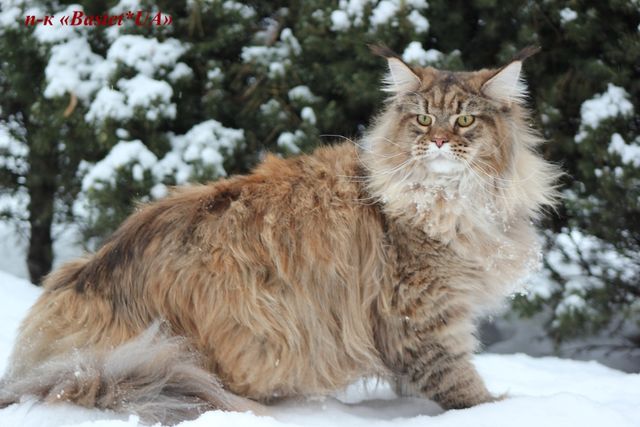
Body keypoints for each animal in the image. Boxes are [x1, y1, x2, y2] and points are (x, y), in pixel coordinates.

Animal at [0, 45, 560, 426]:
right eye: (423, 119)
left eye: (464, 120)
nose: (440, 140)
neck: (447, 202)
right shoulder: (421, 317)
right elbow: (459, 384)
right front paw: (500, 411)